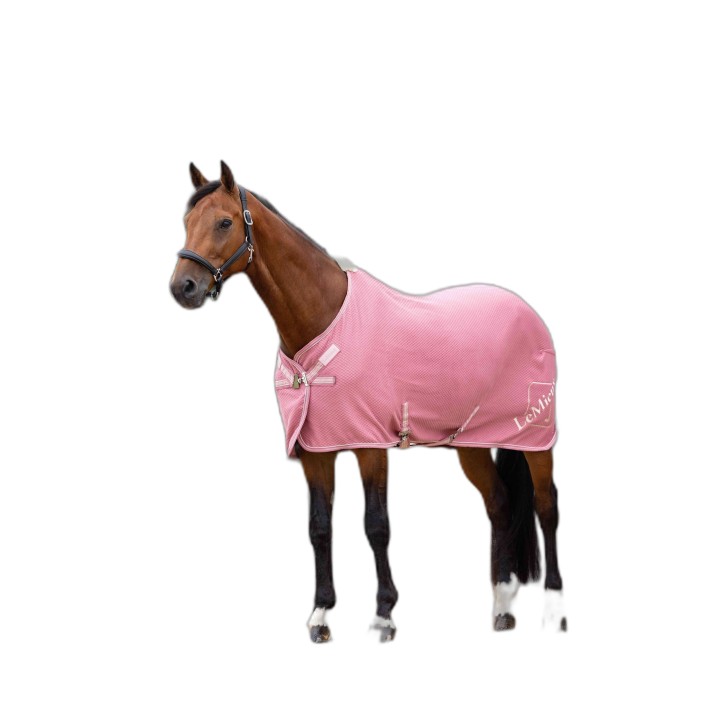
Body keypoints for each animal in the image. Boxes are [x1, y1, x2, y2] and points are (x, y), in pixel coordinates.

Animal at [170, 161, 566, 642]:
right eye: (187, 221)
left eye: (225, 222)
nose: (183, 287)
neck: (324, 319)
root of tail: (527, 312)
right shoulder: (316, 453)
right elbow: (319, 528)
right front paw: (321, 615)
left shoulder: (371, 447)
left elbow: (376, 526)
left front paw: (384, 614)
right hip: (469, 445)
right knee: (501, 503)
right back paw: (502, 607)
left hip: (536, 438)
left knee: (547, 507)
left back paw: (555, 609)